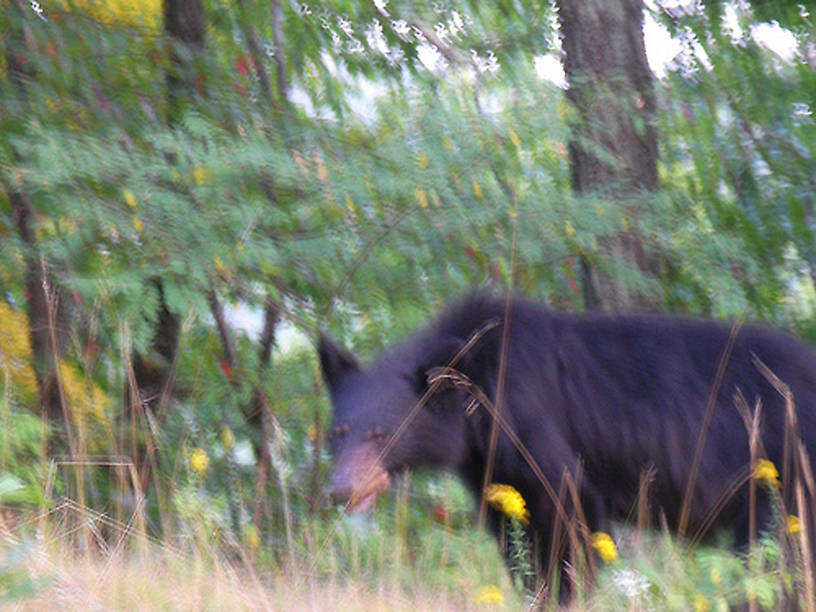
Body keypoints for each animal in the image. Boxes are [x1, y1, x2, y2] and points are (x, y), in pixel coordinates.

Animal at [318, 294, 816, 592]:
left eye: (383, 435)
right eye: (338, 434)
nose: (341, 490)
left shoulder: (531, 425)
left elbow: (569, 511)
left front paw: (563, 590)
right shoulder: (490, 468)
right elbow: (512, 532)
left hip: (783, 470)